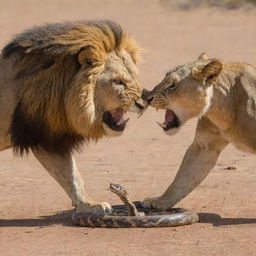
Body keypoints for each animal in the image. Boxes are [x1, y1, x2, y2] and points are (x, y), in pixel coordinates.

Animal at [0, 20, 144, 216]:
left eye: (134, 77)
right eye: (118, 82)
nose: (143, 103)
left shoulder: (48, 140)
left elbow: (71, 176)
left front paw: (89, 205)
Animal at [143, 53, 256, 210]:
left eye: (173, 85)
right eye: (164, 79)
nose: (146, 97)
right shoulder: (204, 146)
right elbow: (182, 178)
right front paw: (160, 202)